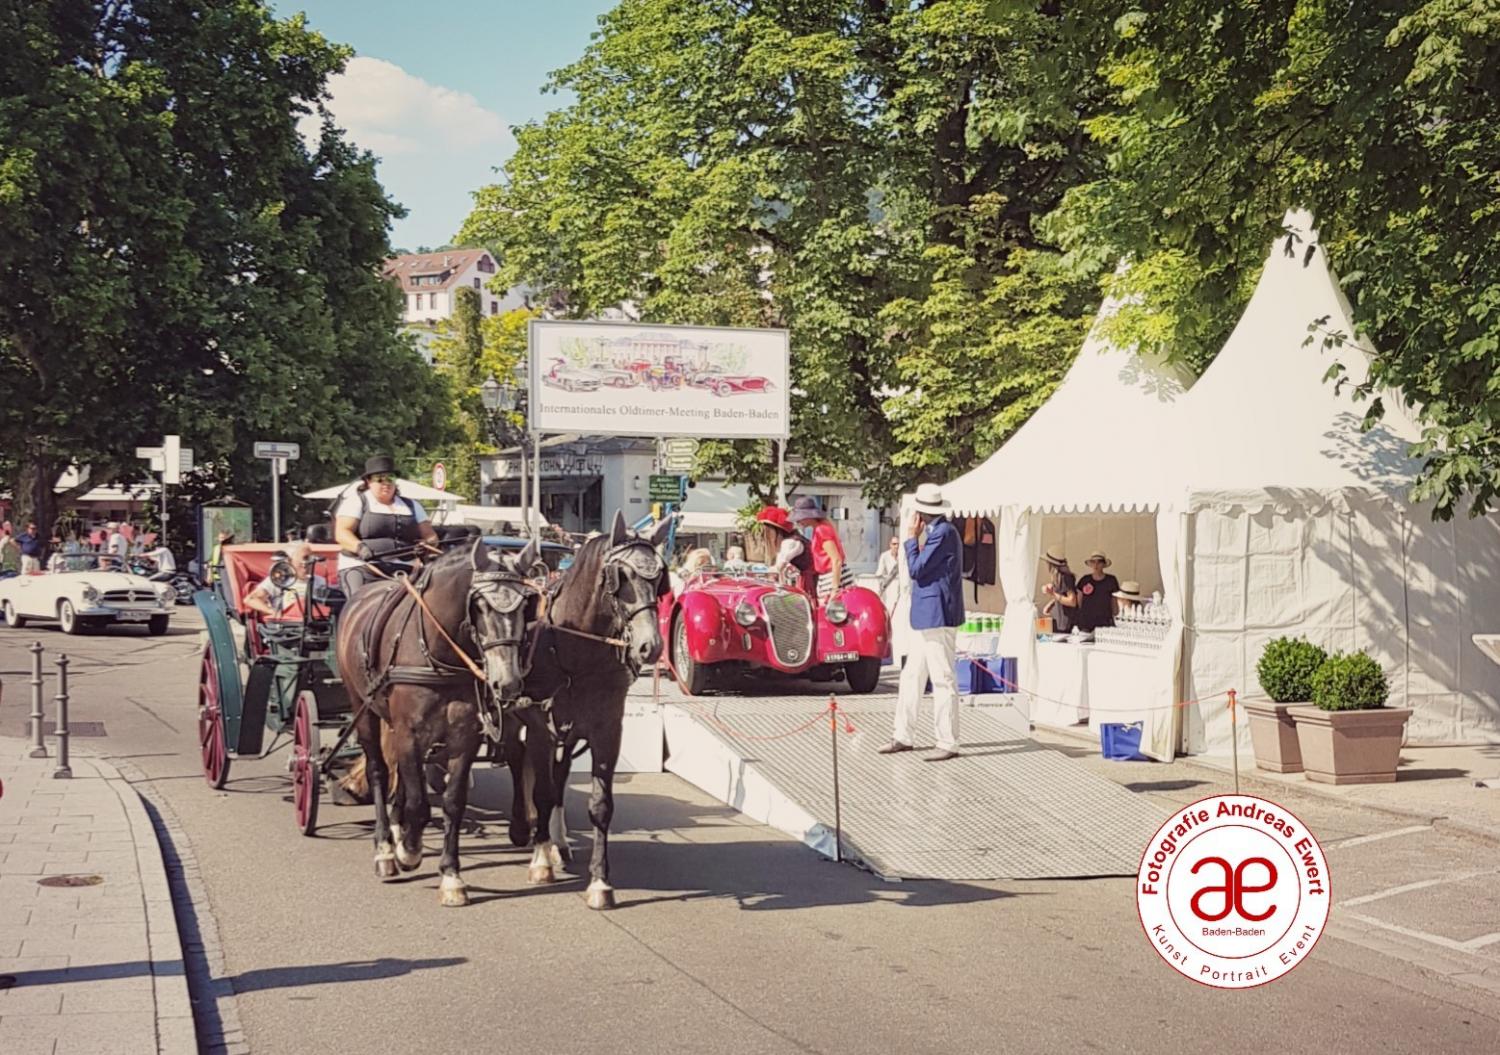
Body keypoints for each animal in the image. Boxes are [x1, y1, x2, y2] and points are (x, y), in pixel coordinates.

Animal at [336, 540, 540, 906]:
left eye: (525, 606)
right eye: (479, 605)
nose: (508, 682)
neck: (438, 650)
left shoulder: (465, 737)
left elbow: (452, 802)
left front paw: (451, 875)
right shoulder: (409, 732)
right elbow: (418, 802)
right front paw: (409, 851)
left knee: (401, 776)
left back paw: (398, 828)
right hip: (364, 708)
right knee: (379, 771)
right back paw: (386, 847)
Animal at [504, 510, 669, 906]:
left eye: (660, 577)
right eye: (620, 576)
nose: (650, 647)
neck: (573, 648)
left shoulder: (605, 730)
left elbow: (599, 805)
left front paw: (599, 881)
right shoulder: (539, 728)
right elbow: (541, 792)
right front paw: (540, 861)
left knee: (560, 775)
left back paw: (559, 842)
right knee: (517, 761)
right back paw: (524, 831)